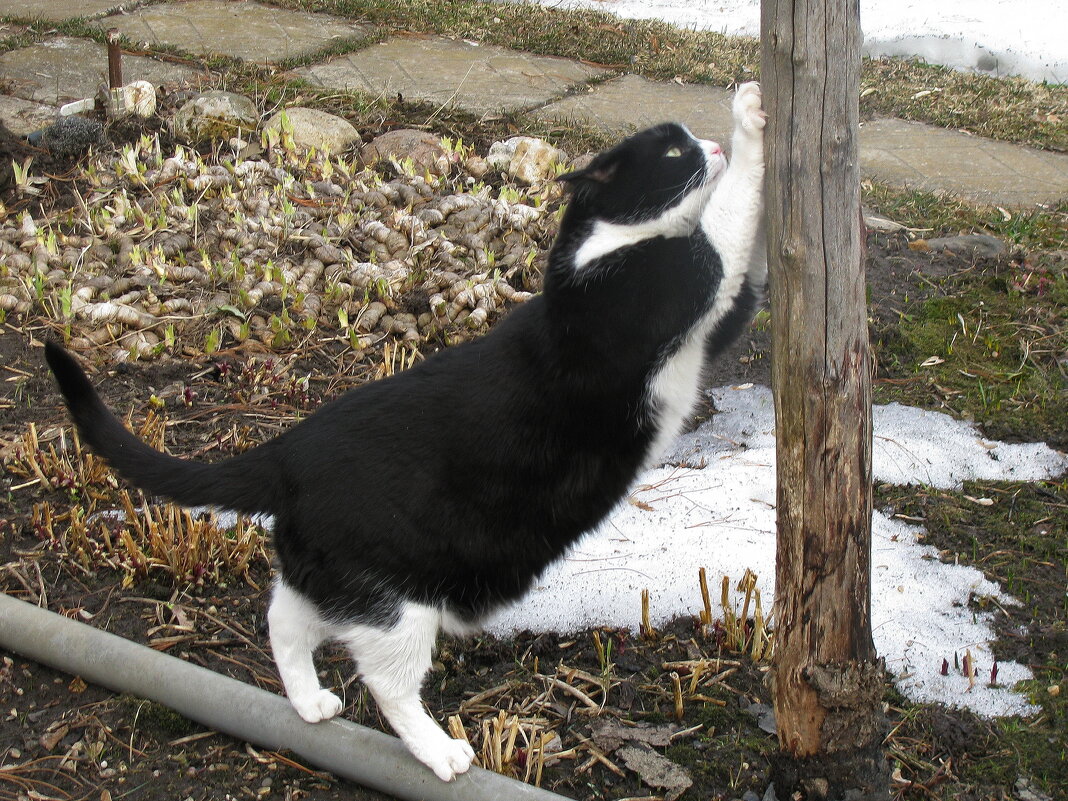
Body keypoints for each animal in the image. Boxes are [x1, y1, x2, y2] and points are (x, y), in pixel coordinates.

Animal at [45, 83, 768, 786]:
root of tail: (287, 452)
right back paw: (441, 753)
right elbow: (732, 217)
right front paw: (750, 115)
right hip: (397, 606)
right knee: (386, 684)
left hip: (338, 578)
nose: (707, 144)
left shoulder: (715, 324)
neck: (606, 248)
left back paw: (309, 703)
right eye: (672, 152)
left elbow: (743, 284)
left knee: (284, 618)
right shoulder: (680, 278)